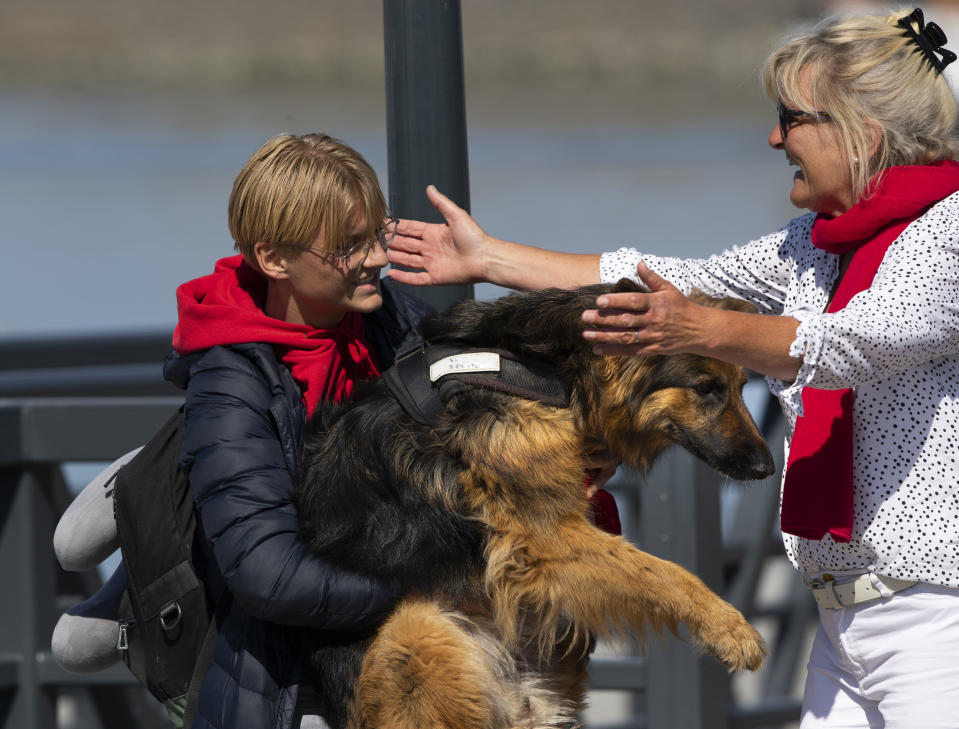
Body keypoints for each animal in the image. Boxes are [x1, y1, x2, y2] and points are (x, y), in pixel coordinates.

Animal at [296, 280, 776, 728]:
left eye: (740, 387)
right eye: (707, 389)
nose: (768, 468)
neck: (553, 370)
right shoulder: (548, 534)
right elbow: (662, 572)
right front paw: (730, 628)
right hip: (418, 632)